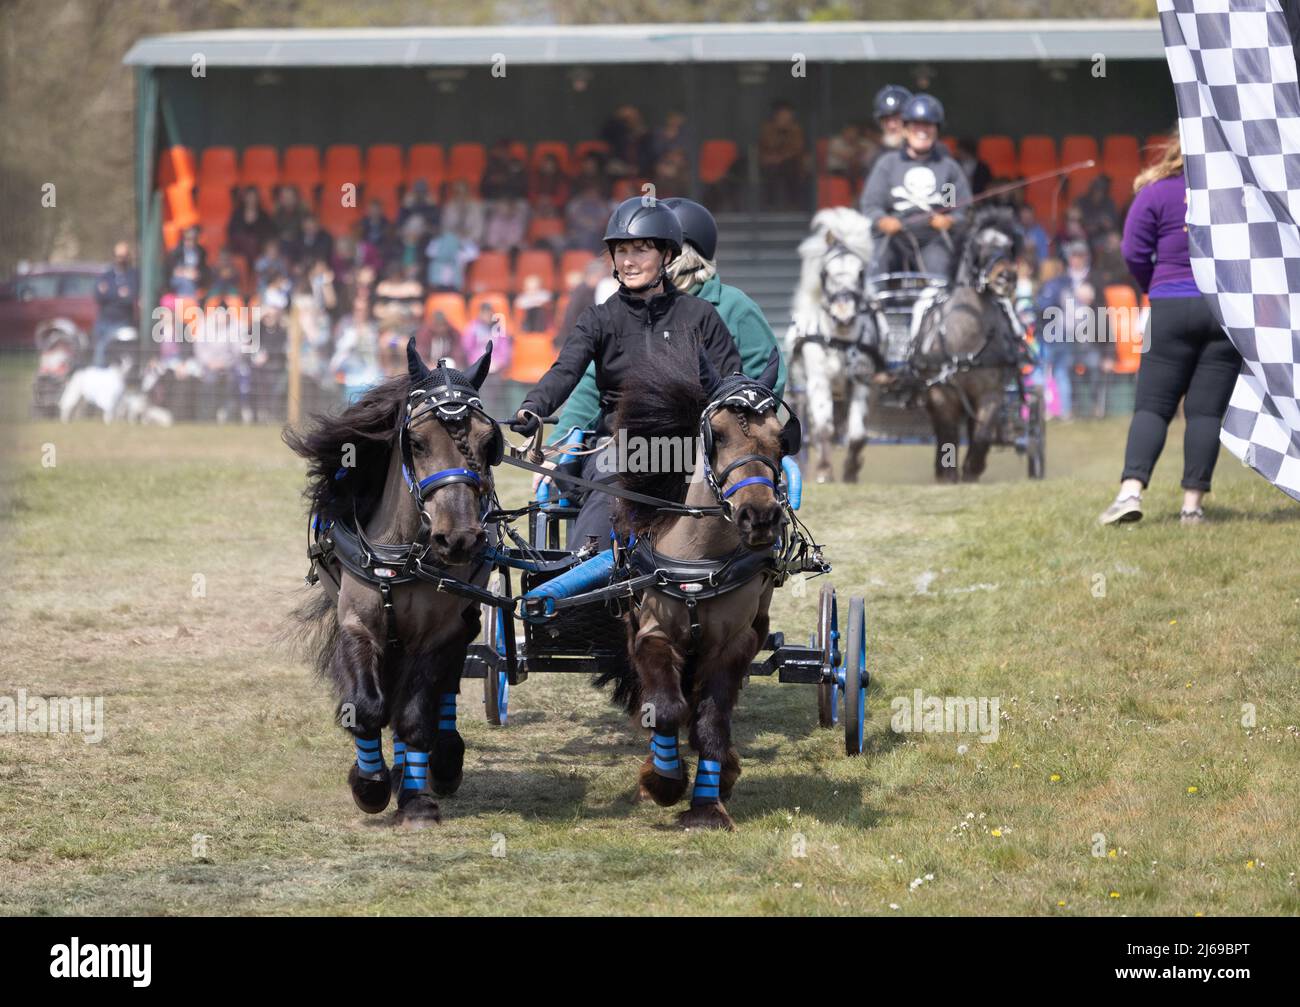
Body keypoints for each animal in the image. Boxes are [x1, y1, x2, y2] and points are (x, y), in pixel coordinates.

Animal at [287, 337, 499, 826]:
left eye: (487, 442)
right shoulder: (357, 622)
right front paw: (369, 784)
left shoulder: (440, 632)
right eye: (416, 442)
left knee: (439, 690)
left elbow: (415, 715)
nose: (459, 539)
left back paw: (436, 763)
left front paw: (417, 800)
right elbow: (367, 708)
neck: (403, 554)